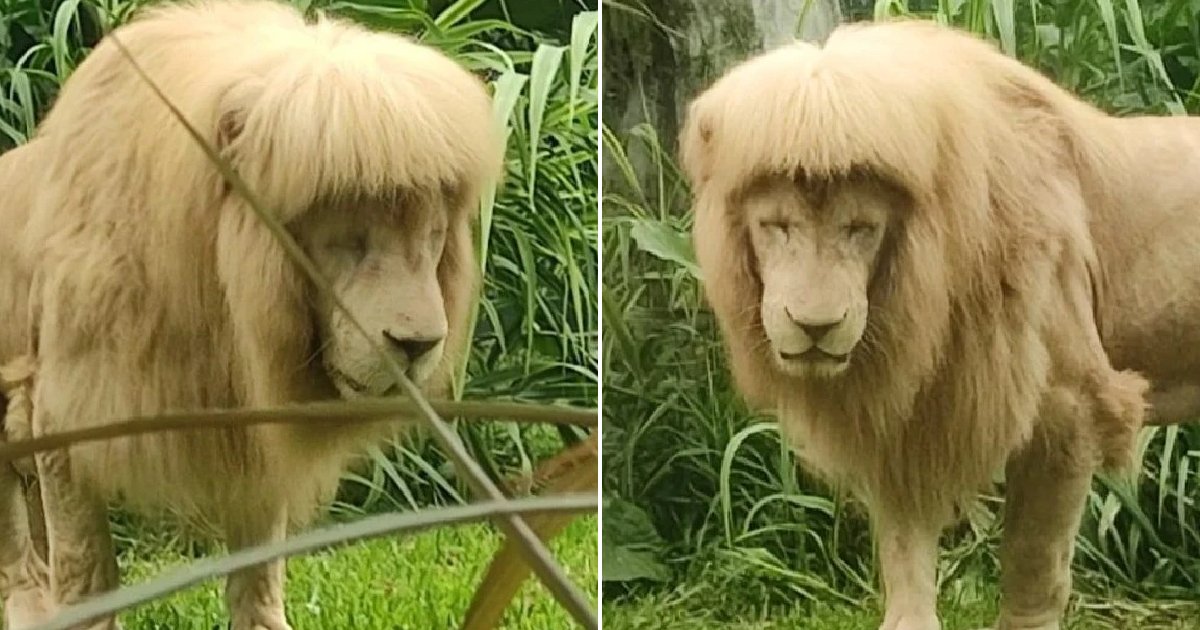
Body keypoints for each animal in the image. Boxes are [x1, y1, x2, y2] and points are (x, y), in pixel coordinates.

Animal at [0, 2, 501, 628]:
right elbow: (88, 575)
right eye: (348, 241)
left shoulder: (255, 437)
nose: (419, 344)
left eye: (432, 239)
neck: (222, 314)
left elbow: (258, 579)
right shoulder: (63, 416)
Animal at [680, 20, 1197, 630]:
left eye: (861, 228)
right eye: (776, 226)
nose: (815, 326)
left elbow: (1032, 568)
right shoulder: (906, 425)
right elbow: (905, 566)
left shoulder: (1072, 409)